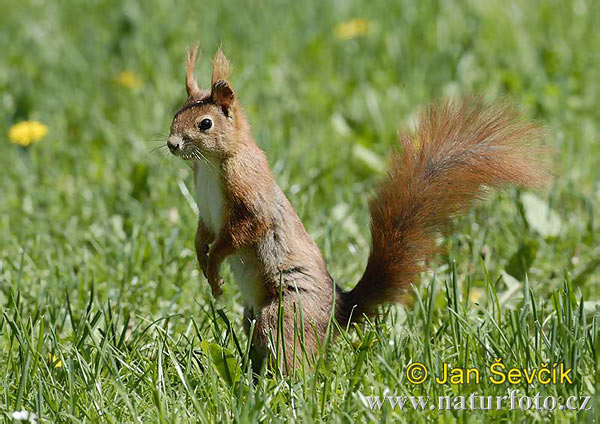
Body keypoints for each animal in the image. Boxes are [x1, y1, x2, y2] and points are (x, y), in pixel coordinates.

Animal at [164, 47, 548, 372]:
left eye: (205, 124)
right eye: (175, 115)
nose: (171, 144)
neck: (211, 165)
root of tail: (337, 312)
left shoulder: (250, 194)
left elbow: (241, 232)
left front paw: (214, 268)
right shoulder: (207, 212)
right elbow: (204, 232)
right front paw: (203, 263)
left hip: (287, 312)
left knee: (291, 351)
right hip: (252, 314)